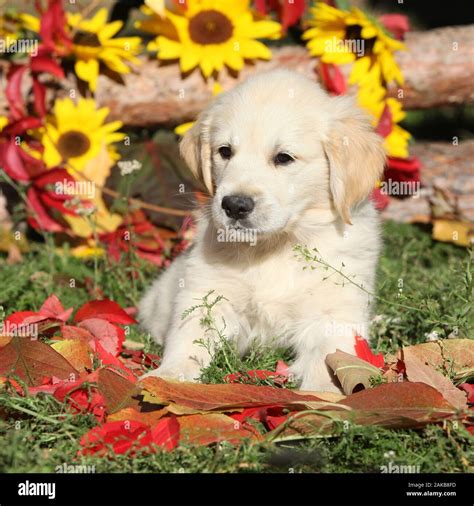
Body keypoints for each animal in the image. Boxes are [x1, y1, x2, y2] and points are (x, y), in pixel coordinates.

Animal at [138, 68, 386, 392]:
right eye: (225, 152)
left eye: (283, 157)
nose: (234, 206)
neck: (275, 246)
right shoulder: (206, 292)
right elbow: (188, 339)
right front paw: (170, 377)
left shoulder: (334, 310)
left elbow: (329, 356)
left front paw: (321, 393)